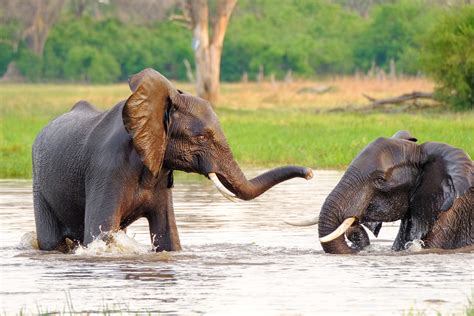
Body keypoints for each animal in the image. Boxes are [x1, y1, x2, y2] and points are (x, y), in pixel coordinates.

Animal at [34, 68, 314, 252]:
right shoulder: (106, 169)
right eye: (201, 137)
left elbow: (168, 235)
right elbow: (101, 235)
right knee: (51, 241)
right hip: (39, 183)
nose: (310, 173)